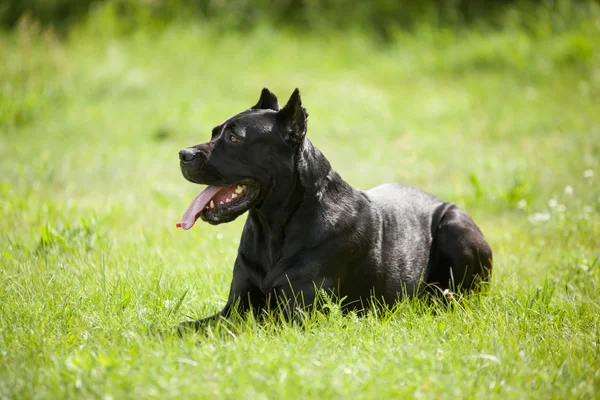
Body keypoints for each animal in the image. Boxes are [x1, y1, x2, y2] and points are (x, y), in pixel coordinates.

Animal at [175, 88, 492, 328]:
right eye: (214, 132)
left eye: (234, 138)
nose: (183, 154)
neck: (273, 227)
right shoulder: (235, 307)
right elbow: (184, 327)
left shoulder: (295, 314)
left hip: (455, 227)